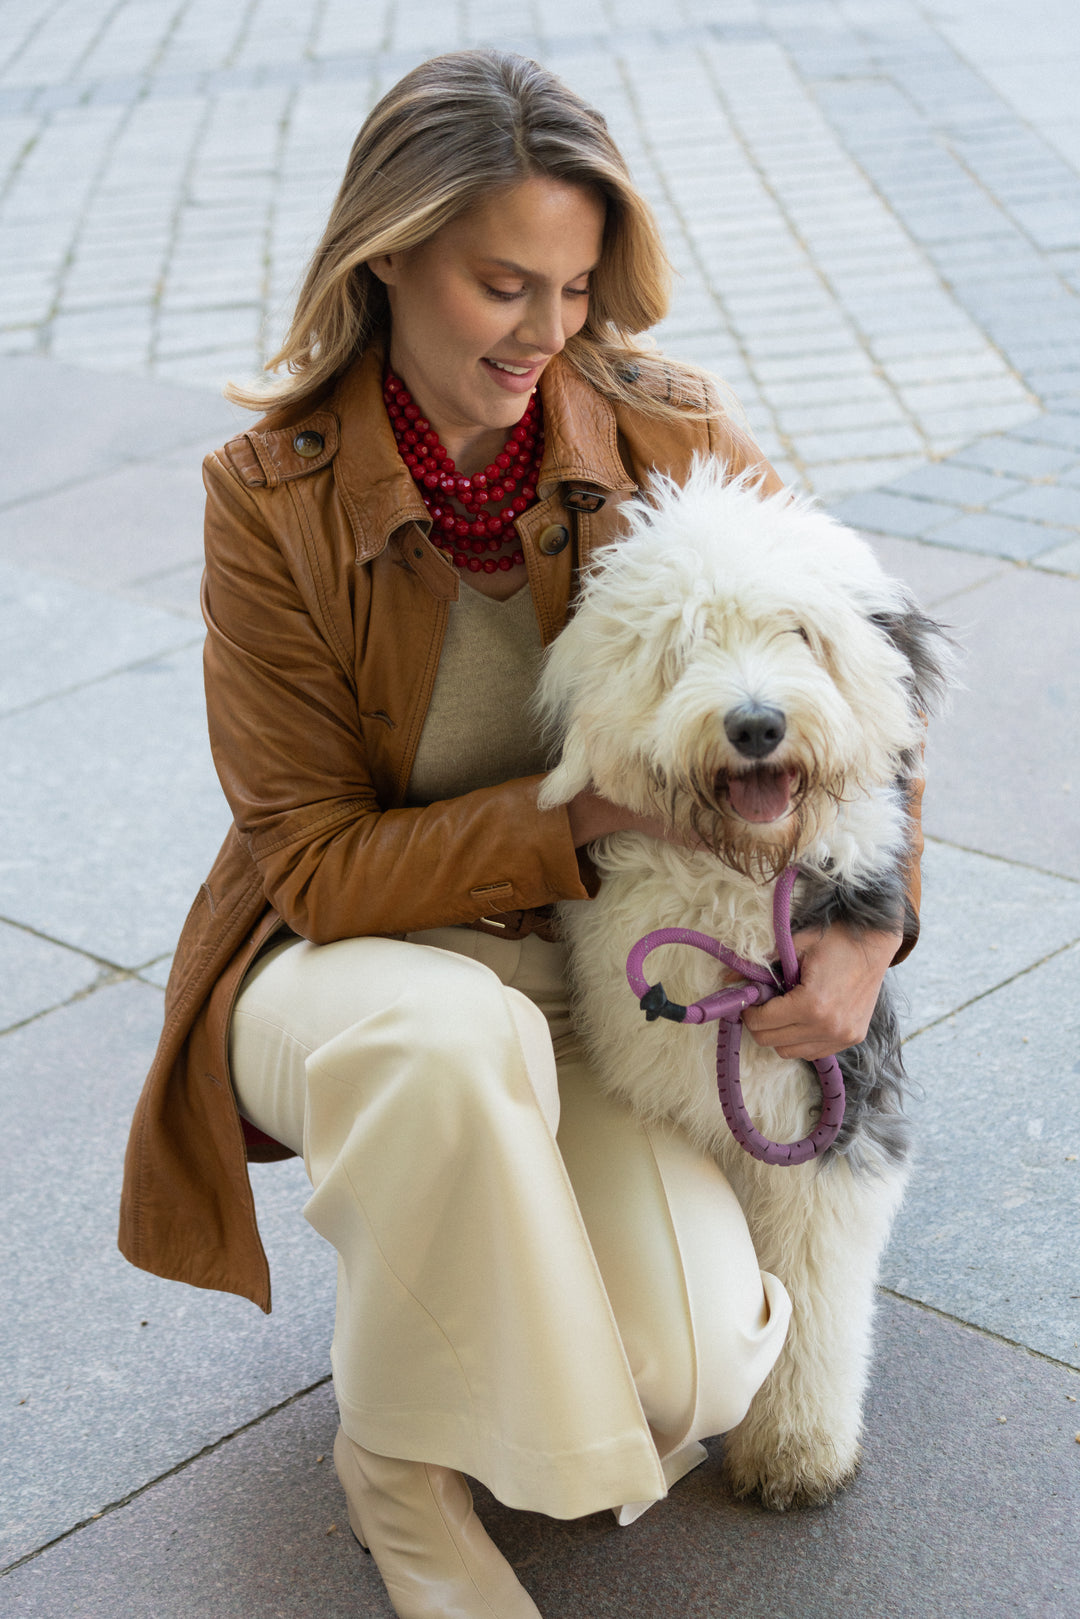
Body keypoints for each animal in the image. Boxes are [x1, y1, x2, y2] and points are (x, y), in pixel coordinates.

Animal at [537, 463, 952, 1508]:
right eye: (684, 642)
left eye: (798, 631)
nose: (757, 724)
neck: (736, 877)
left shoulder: (831, 1109)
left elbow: (812, 1284)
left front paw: (796, 1451)